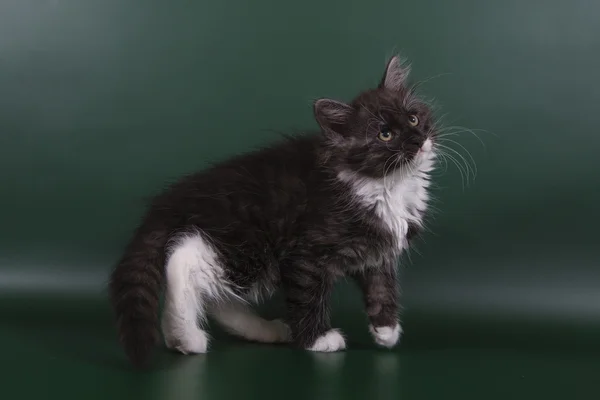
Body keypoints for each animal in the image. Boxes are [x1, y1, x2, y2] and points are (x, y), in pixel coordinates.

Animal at [108, 54, 438, 368]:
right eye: (385, 134)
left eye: (412, 118)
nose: (418, 140)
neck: (388, 186)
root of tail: (169, 201)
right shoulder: (307, 253)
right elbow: (308, 295)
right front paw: (317, 339)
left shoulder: (377, 252)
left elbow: (382, 286)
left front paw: (386, 330)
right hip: (250, 249)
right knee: (184, 260)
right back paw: (184, 336)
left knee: (216, 296)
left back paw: (266, 331)